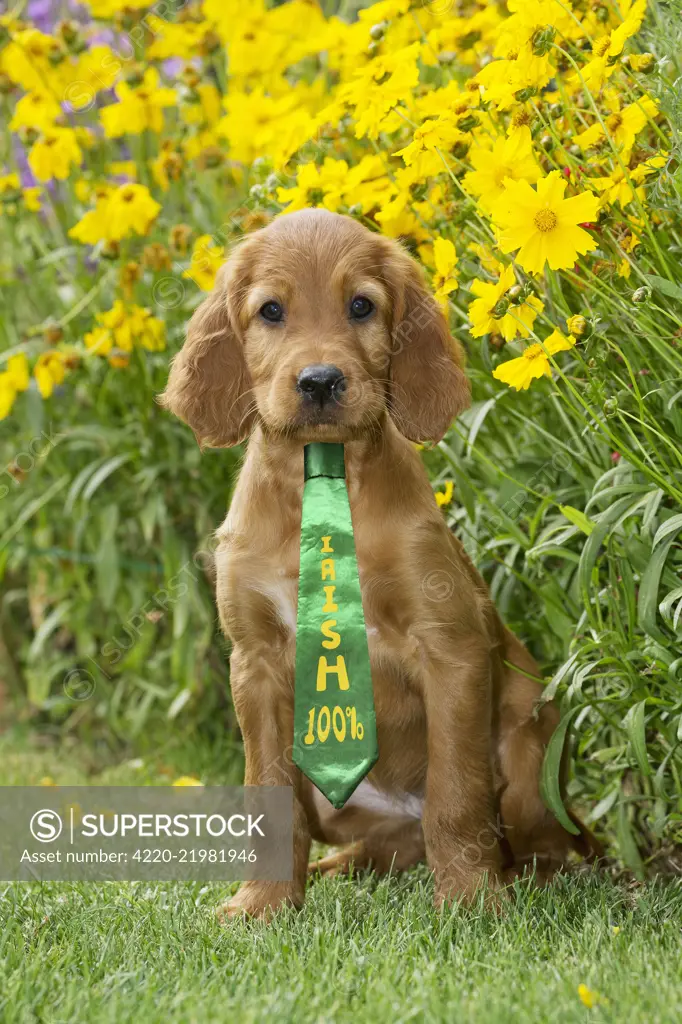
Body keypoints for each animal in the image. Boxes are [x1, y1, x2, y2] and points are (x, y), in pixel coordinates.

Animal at [159, 207, 589, 921]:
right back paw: (334, 869)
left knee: (535, 839)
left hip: (531, 752)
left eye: (361, 305)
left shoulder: (451, 649)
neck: (324, 472)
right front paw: (263, 904)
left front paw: (470, 900)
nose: (320, 381)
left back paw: (531, 879)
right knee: (386, 845)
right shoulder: (254, 663)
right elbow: (268, 801)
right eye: (271, 311)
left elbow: (457, 796)